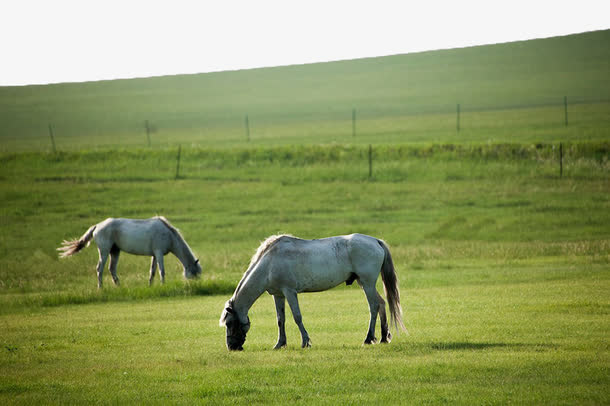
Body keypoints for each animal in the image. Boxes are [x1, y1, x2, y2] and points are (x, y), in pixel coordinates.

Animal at [57, 217, 201, 288]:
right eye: (194, 274)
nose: (194, 285)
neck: (168, 235)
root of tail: (97, 226)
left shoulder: (154, 255)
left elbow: (152, 272)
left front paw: (150, 286)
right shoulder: (159, 253)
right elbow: (162, 271)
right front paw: (163, 285)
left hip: (115, 251)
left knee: (112, 269)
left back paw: (119, 287)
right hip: (104, 251)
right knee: (100, 269)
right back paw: (100, 288)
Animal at [218, 233, 404, 350]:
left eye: (229, 323)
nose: (232, 347)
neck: (269, 263)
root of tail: (375, 241)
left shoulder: (290, 292)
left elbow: (297, 317)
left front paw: (305, 342)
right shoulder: (278, 295)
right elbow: (280, 320)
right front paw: (280, 344)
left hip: (367, 283)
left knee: (373, 306)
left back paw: (368, 338)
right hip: (363, 282)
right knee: (381, 303)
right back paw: (383, 337)